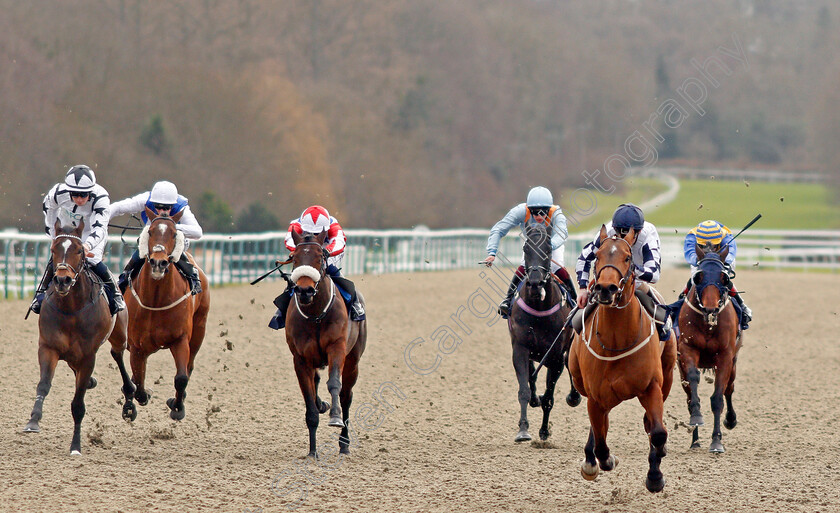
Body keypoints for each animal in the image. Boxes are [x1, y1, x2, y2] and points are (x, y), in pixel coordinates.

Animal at [286, 230, 364, 454]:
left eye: (320, 257)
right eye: (294, 258)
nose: (304, 290)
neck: (315, 316)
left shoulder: (337, 348)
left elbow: (334, 383)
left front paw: (335, 417)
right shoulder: (300, 359)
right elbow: (309, 401)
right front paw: (312, 452)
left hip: (353, 360)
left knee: (347, 396)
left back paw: (344, 443)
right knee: (316, 382)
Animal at [508, 223, 580, 440]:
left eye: (548, 250)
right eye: (525, 249)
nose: (534, 283)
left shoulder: (555, 357)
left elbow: (548, 397)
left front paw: (544, 431)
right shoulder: (520, 348)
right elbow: (524, 388)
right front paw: (523, 429)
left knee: (570, 364)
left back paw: (573, 396)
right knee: (532, 375)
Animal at [676, 242, 740, 450]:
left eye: (724, 277)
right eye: (699, 276)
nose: (710, 308)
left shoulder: (725, 356)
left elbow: (718, 398)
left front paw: (717, 441)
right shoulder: (687, 350)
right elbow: (693, 379)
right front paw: (697, 416)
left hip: (733, 364)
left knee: (729, 388)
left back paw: (730, 420)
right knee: (689, 395)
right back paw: (695, 441)